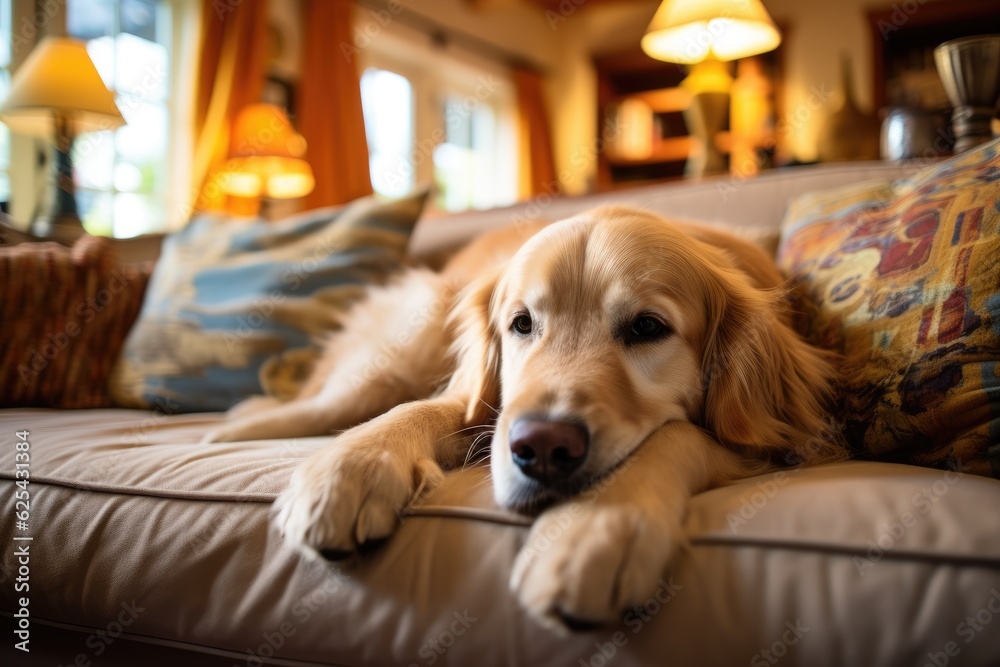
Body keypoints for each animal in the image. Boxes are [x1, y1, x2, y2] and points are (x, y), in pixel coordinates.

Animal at [203, 207, 844, 632]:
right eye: (521, 324)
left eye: (647, 328)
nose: (542, 448)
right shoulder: (482, 401)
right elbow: (426, 408)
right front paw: (348, 468)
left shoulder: (768, 440)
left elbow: (678, 432)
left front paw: (593, 528)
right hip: (409, 332)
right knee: (322, 402)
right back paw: (230, 425)